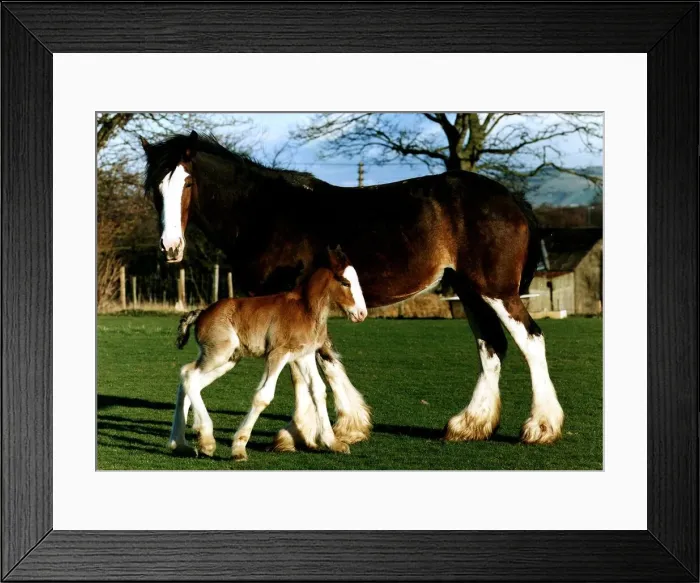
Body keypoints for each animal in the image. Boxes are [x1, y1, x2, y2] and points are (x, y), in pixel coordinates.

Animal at [170, 245, 368, 461]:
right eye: (345, 282)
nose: (362, 314)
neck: (306, 309)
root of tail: (202, 312)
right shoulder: (277, 354)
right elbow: (263, 395)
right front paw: (239, 448)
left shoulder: (304, 355)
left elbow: (318, 390)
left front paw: (333, 442)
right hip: (217, 355)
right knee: (188, 374)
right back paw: (206, 440)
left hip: (228, 360)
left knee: (189, 382)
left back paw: (181, 444)